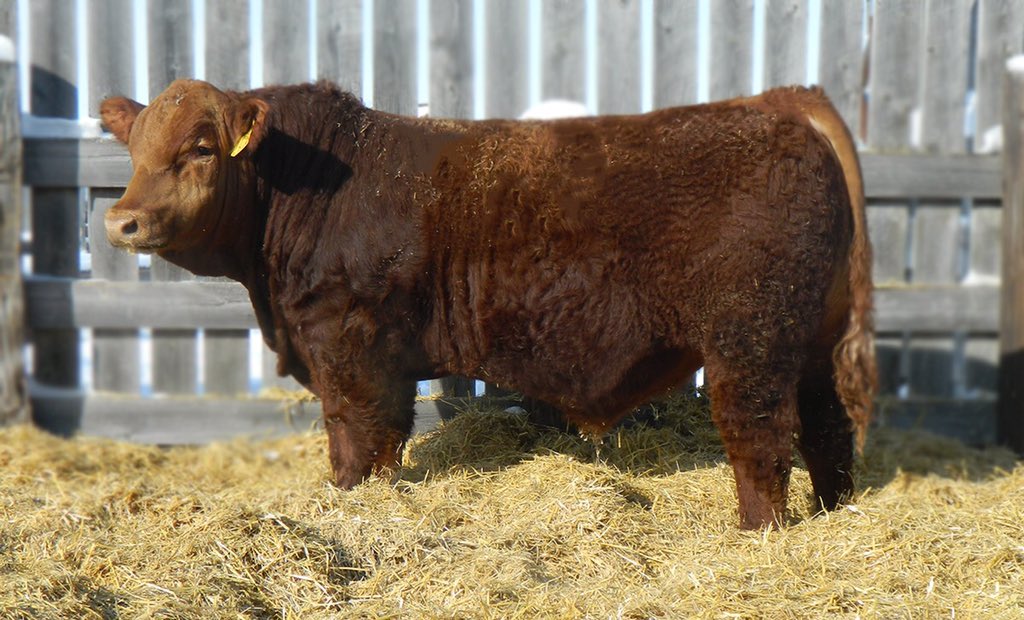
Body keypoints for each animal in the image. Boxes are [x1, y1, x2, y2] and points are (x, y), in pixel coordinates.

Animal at [100, 79, 876, 529]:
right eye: (134, 148)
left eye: (202, 147)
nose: (121, 221)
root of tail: (778, 102)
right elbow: (384, 445)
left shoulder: (348, 349)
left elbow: (356, 444)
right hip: (814, 340)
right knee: (829, 430)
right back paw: (833, 513)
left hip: (751, 343)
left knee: (762, 439)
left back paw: (758, 531)